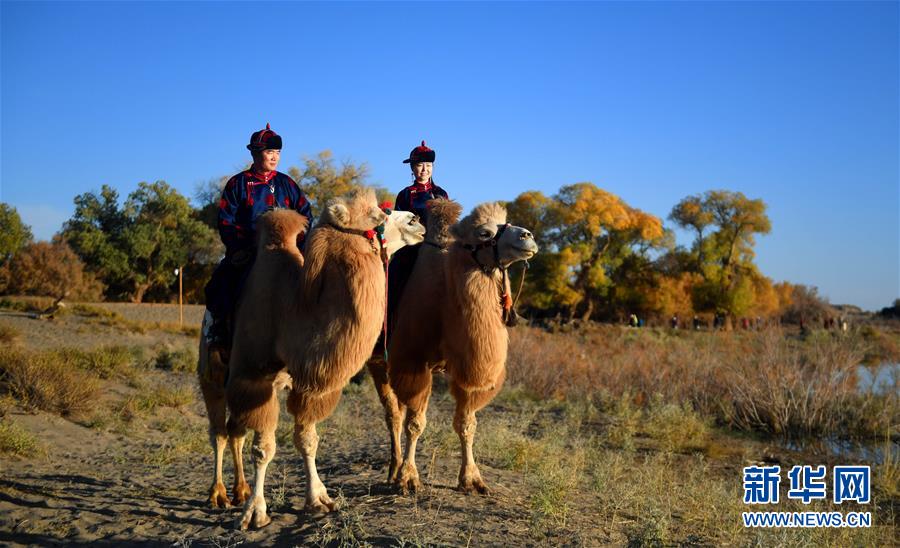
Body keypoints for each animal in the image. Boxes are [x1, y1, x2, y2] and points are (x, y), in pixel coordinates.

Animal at [198, 198, 426, 520]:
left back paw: (240, 489)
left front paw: (318, 499)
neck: (292, 315)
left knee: (235, 431)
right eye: (379, 215)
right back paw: (218, 494)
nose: (415, 220)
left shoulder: (304, 382)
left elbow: (307, 440)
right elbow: (264, 448)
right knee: (218, 431)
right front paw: (256, 511)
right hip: (212, 373)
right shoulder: (254, 378)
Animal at [370, 199, 536, 494]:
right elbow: (415, 423)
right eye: (484, 232)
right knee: (393, 415)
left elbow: (467, 424)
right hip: (379, 361)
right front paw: (409, 478)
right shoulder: (413, 362)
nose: (527, 236)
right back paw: (394, 470)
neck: (444, 299)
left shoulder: (467, 370)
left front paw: (472, 479)